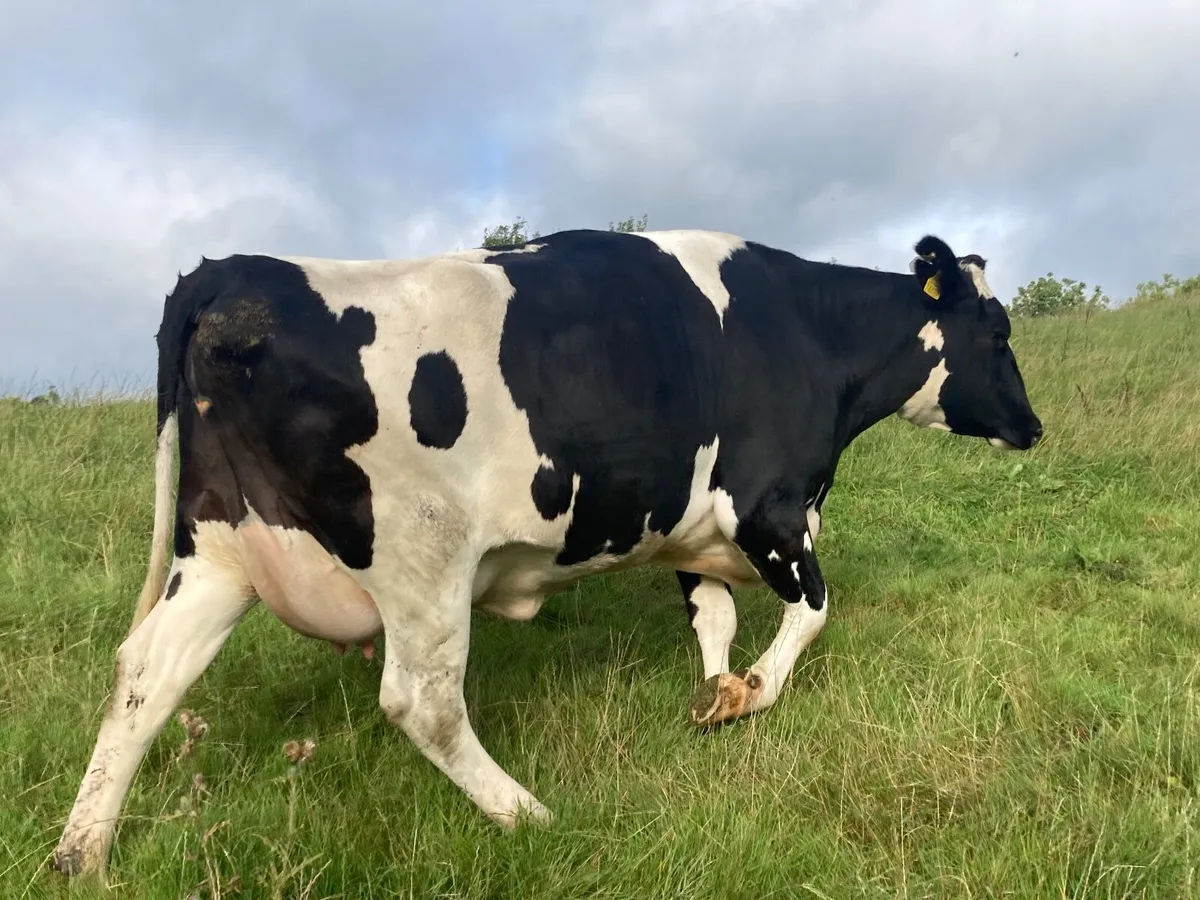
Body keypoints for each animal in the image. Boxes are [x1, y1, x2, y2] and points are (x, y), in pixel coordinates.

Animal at [53, 228, 1042, 880]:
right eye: (998, 334)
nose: (1032, 426)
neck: (804, 334)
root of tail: (236, 270)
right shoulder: (770, 507)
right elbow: (810, 611)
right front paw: (750, 692)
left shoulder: (694, 529)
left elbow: (712, 618)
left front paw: (713, 696)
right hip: (421, 556)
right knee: (421, 703)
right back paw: (528, 815)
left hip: (219, 549)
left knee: (146, 675)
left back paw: (82, 852)